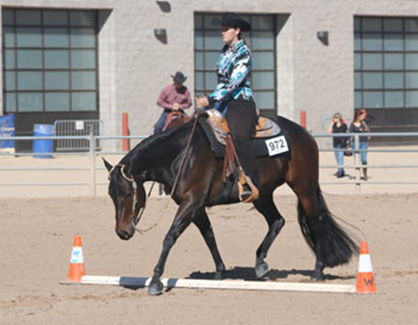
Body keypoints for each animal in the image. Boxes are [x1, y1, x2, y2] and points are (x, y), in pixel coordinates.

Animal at [103, 113, 358, 294]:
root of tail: (304, 134)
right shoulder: (196, 206)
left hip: (304, 188)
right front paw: (219, 272)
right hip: (262, 195)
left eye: (127, 193)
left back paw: (318, 269)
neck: (183, 154)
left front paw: (156, 280)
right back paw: (260, 263)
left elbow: (170, 236)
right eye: (111, 195)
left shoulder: (191, 202)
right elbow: (209, 235)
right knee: (277, 221)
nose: (122, 232)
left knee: (315, 221)